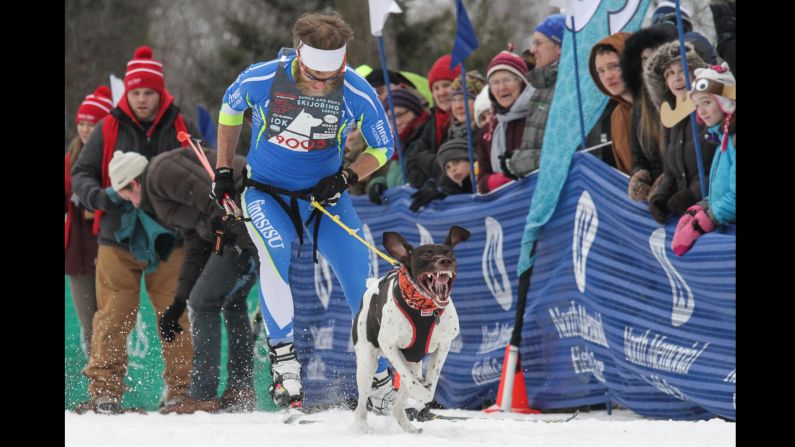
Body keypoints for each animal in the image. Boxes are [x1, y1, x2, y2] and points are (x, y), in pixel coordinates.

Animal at [352, 228, 470, 434]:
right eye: (425, 255)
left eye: (450, 254)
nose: (445, 261)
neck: (424, 309)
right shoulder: (389, 345)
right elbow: (412, 382)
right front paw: (420, 392)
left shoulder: (443, 345)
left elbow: (431, 381)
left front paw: (425, 390)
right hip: (366, 364)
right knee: (361, 404)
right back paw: (363, 427)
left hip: (413, 361)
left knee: (397, 407)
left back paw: (409, 428)